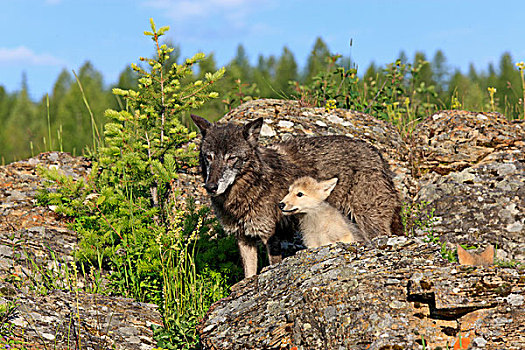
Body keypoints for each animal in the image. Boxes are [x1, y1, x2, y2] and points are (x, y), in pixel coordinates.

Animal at [192, 113, 402, 278]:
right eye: (209, 157)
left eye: (232, 158)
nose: (210, 187)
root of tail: (378, 156)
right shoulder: (244, 238)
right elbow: (249, 275)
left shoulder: (271, 237)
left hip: (370, 224)